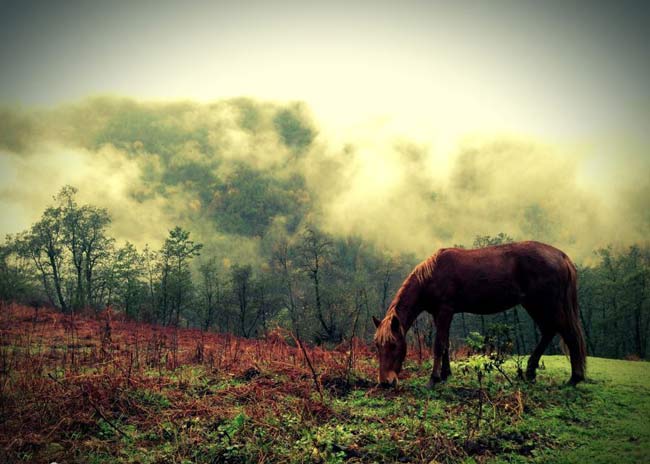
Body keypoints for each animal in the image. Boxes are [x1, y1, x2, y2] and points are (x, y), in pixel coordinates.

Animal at [372, 241, 584, 386]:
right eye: (377, 346)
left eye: (393, 345)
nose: (385, 382)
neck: (432, 275)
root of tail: (561, 256)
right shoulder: (439, 314)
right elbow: (446, 344)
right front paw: (445, 374)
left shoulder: (445, 311)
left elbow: (439, 345)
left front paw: (433, 378)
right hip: (534, 305)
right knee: (549, 331)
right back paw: (531, 372)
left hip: (545, 304)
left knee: (567, 334)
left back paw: (574, 379)